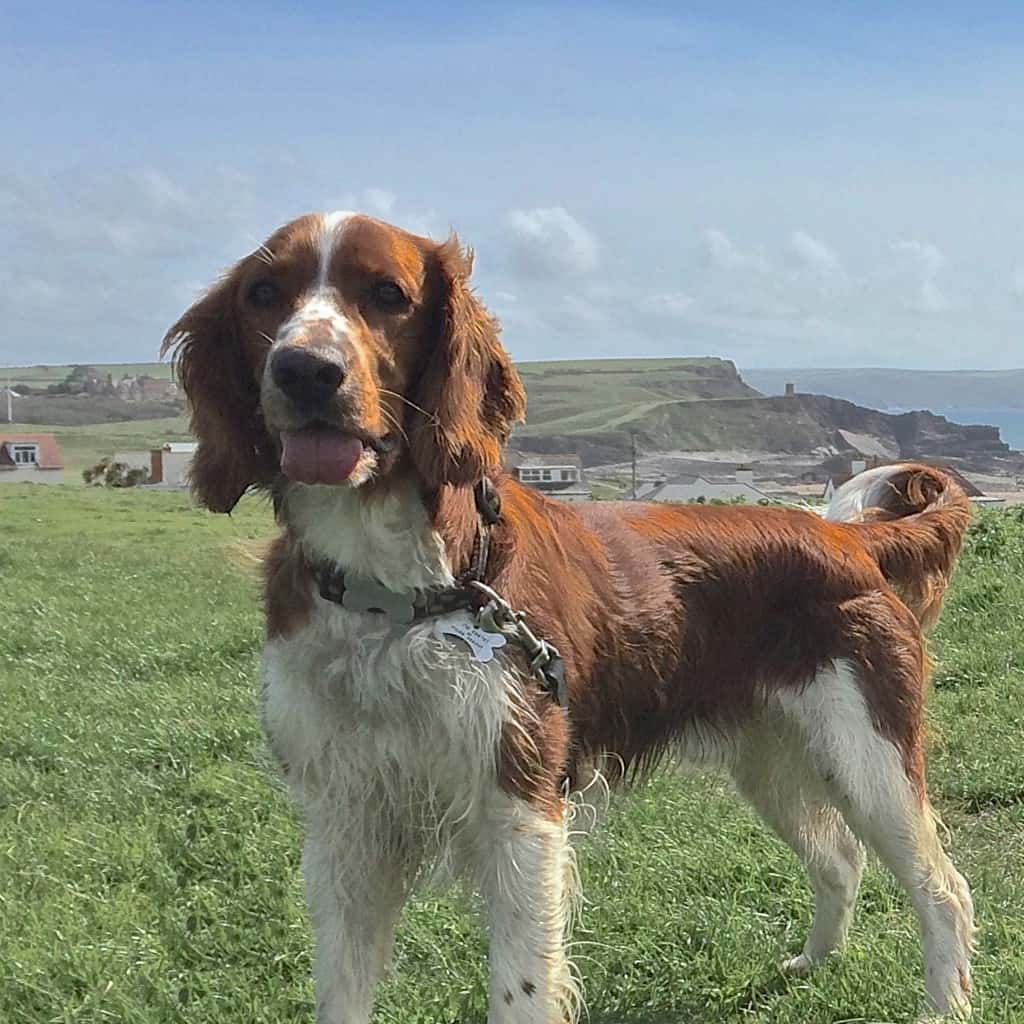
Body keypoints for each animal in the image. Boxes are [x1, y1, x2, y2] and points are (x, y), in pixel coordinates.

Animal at [165, 211, 974, 1019]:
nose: (305, 370)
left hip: (868, 755)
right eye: (263, 293)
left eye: (387, 294)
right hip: (771, 754)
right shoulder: (345, 822)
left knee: (943, 889)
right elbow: (342, 989)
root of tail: (848, 537)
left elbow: (520, 987)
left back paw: (943, 1003)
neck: (400, 597)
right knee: (840, 858)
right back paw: (811, 963)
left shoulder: (520, 808)